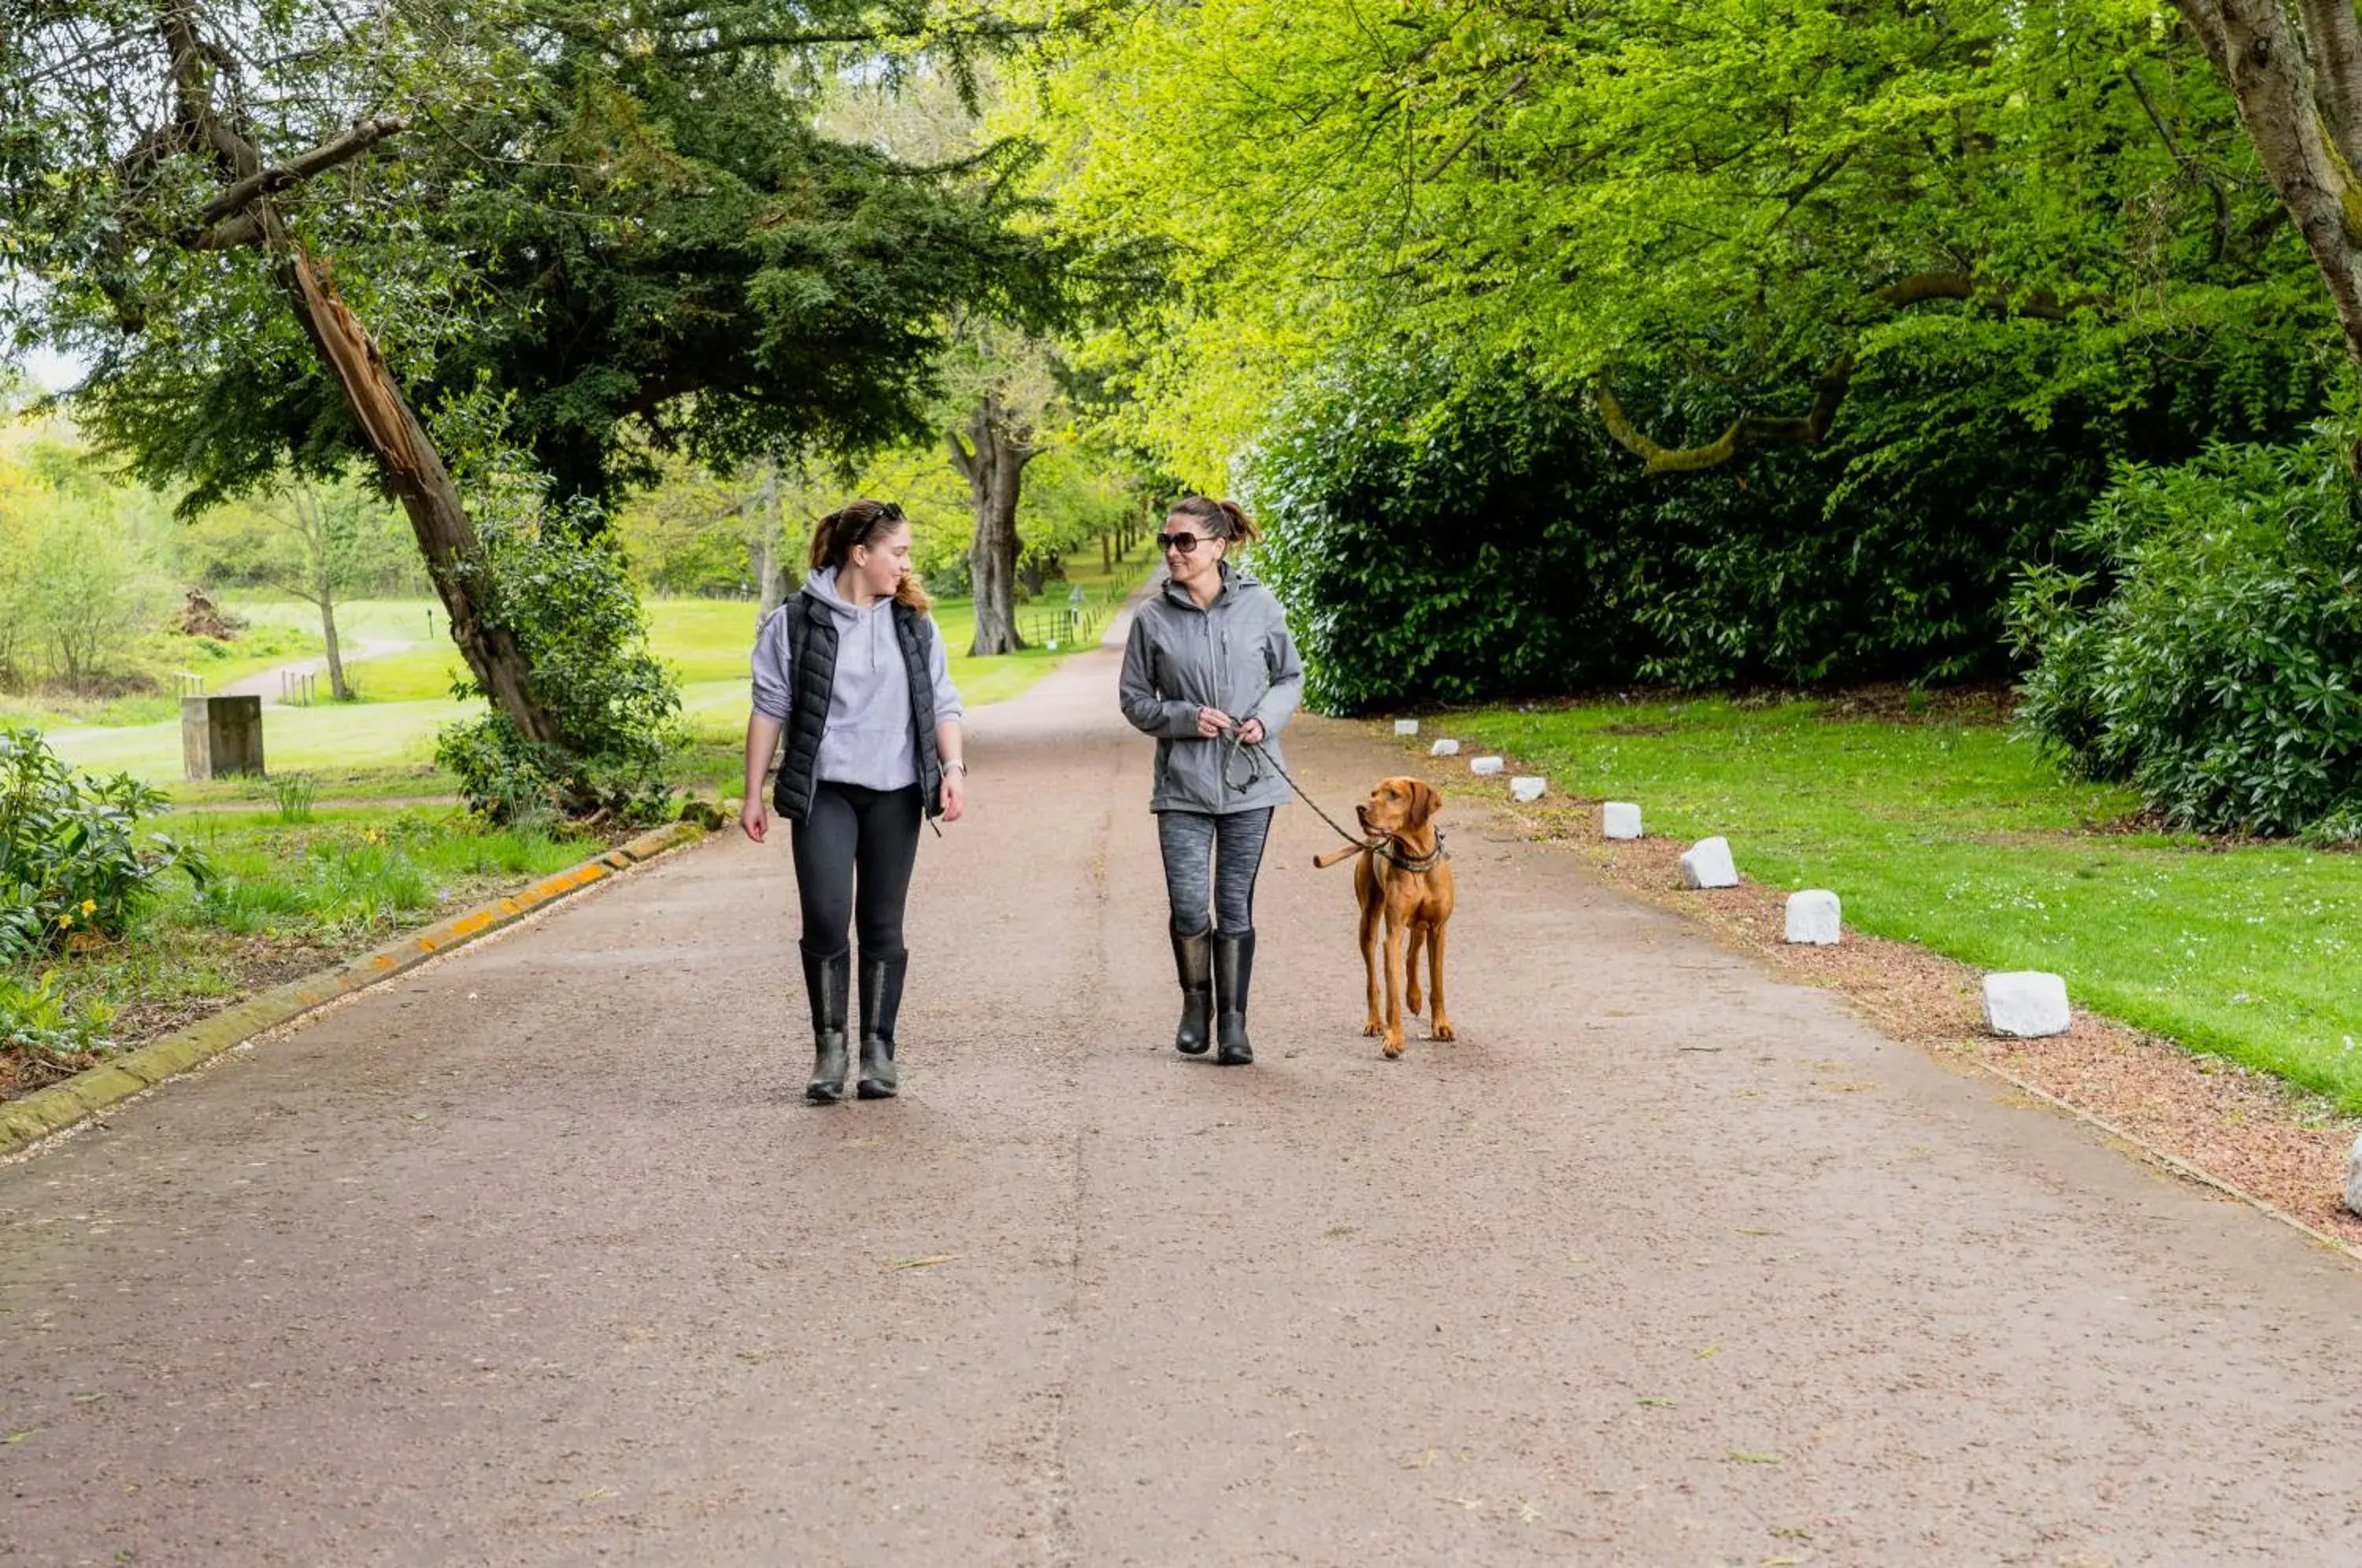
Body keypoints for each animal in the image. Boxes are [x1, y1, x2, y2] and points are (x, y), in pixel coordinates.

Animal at [1323, 779, 1446, 1058]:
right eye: (1373, 793)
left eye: (1394, 795)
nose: (1361, 807)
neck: (1416, 857)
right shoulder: (1393, 934)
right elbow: (1392, 994)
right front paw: (1394, 1039)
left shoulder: (1438, 929)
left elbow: (1437, 983)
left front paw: (1442, 1025)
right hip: (1368, 923)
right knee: (1373, 980)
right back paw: (1375, 1022)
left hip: (1421, 926)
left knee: (1412, 954)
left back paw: (1415, 998)